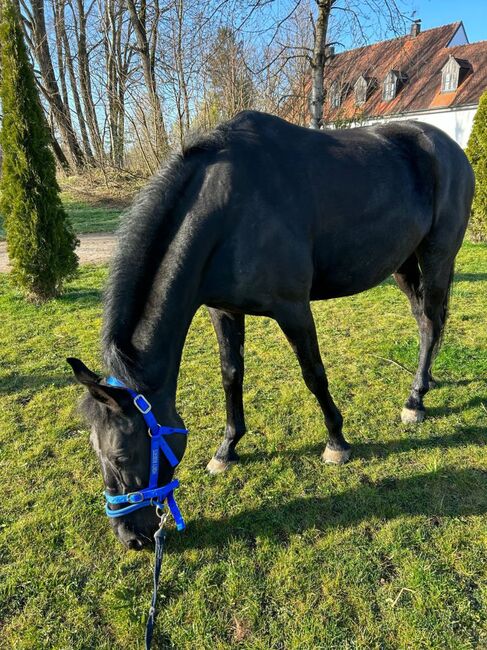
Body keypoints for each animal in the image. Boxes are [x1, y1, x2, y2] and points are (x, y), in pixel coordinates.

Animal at [67, 110, 472, 548]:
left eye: (122, 455)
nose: (131, 537)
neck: (227, 212)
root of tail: (447, 147)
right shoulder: (222, 311)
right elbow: (231, 375)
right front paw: (227, 448)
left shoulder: (293, 309)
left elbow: (313, 375)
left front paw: (337, 443)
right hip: (403, 263)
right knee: (426, 322)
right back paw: (425, 383)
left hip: (437, 257)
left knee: (430, 322)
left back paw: (415, 400)